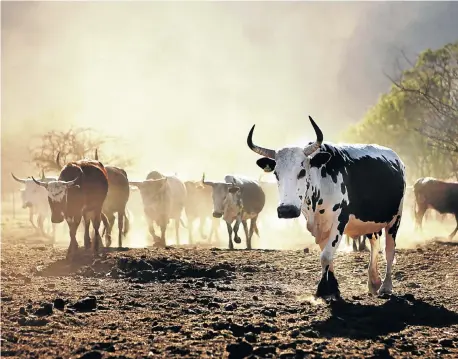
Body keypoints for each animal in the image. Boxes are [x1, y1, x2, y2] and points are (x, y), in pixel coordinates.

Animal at [247, 116, 404, 300]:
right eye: (276, 174)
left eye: (302, 171)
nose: (286, 210)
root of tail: (396, 158)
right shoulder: (318, 225)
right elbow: (327, 256)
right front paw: (332, 288)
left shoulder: (339, 222)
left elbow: (326, 255)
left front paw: (322, 289)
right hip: (371, 222)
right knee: (374, 245)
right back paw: (373, 281)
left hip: (395, 220)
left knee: (389, 250)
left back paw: (386, 286)